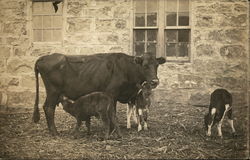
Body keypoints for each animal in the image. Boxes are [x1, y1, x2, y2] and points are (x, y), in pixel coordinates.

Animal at [33, 52, 166, 135]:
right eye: (145, 65)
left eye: (157, 65)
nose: (155, 81)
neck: (126, 69)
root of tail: (44, 57)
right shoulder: (111, 94)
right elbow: (113, 113)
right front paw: (112, 129)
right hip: (53, 91)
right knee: (49, 108)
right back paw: (54, 132)